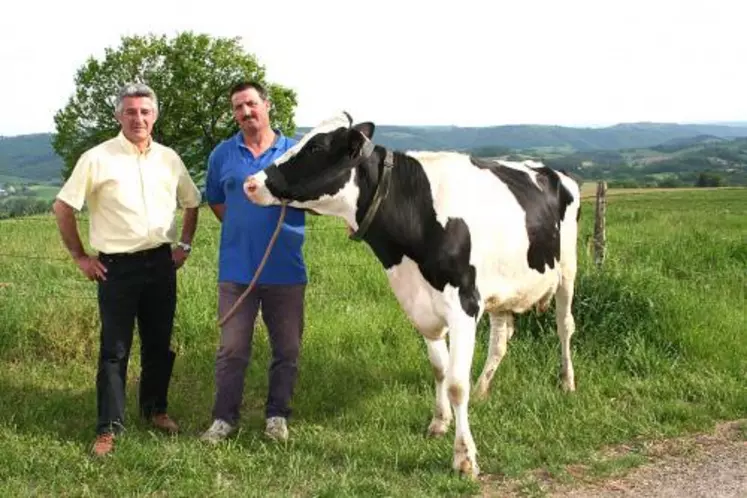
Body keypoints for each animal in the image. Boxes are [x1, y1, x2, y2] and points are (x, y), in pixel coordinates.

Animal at [243, 113, 580, 478]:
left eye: (317, 146)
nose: (250, 182)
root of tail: (552, 170)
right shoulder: (421, 305)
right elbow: (439, 369)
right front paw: (439, 422)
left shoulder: (464, 305)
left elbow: (456, 383)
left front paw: (464, 458)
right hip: (502, 289)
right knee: (501, 339)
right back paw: (483, 389)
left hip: (567, 270)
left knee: (564, 326)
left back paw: (567, 383)